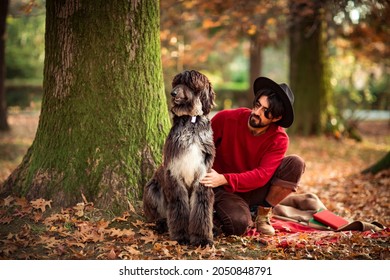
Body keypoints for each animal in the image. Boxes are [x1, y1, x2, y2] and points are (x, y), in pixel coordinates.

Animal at [143, 70, 216, 247]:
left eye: (189, 83)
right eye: (176, 83)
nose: (173, 93)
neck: (192, 122)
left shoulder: (203, 176)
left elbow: (201, 208)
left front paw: (202, 238)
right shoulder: (174, 173)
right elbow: (179, 207)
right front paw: (181, 235)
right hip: (151, 189)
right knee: (156, 215)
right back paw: (161, 223)